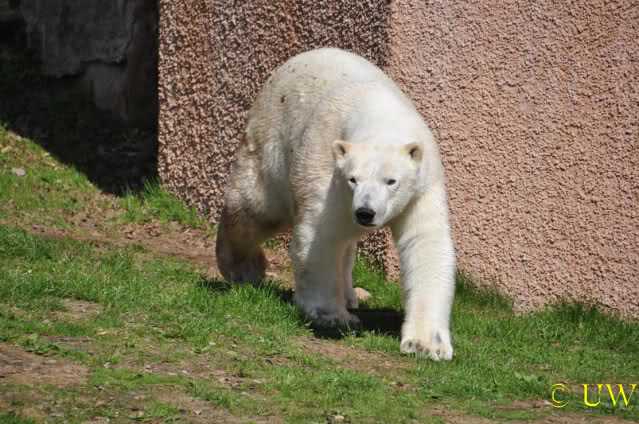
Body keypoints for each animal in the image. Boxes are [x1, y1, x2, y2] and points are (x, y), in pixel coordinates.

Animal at [216, 48, 456, 360]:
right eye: (353, 179)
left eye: (391, 181)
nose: (365, 213)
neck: (381, 115)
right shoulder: (328, 166)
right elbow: (321, 235)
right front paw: (333, 317)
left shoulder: (422, 184)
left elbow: (424, 242)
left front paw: (427, 345)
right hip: (271, 138)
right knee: (254, 209)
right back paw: (244, 269)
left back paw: (351, 295)